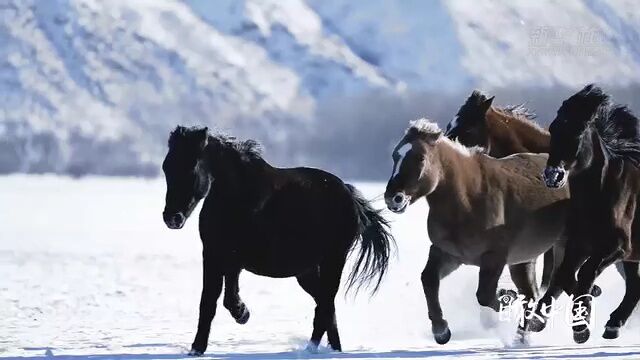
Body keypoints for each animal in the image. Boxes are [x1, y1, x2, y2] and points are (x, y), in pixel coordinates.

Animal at [160, 126, 392, 354]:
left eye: (192, 168)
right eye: (166, 167)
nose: (172, 218)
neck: (238, 197)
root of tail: (350, 196)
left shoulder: (231, 258)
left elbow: (219, 299)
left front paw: (240, 315)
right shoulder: (214, 254)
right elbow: (212, 300)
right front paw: (200, 345)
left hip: (333, 260)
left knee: (325, 305)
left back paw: (320, 349)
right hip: (307, 271)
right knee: (325, 305)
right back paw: (326, 348)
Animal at [382, 119, 568, 344]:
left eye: (420, 157)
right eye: (395, 156)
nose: (393, 198)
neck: (468, 198)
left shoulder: (494, 257)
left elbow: (485, 295)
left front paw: (506, 297)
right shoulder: (447, 254)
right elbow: (428, 279)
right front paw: (441, 330)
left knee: (555, 282)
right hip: (524, 258)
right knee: (531, 295)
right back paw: (521, 338)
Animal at [532, 84, 640, 344]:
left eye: (579, 132)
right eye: (553, 128)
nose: (553, 175)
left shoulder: (616, 247)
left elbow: (585, 274)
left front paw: (581, 326)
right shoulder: (579, 244)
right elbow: (565, 275)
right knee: (635, 286)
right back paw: (613, 325)